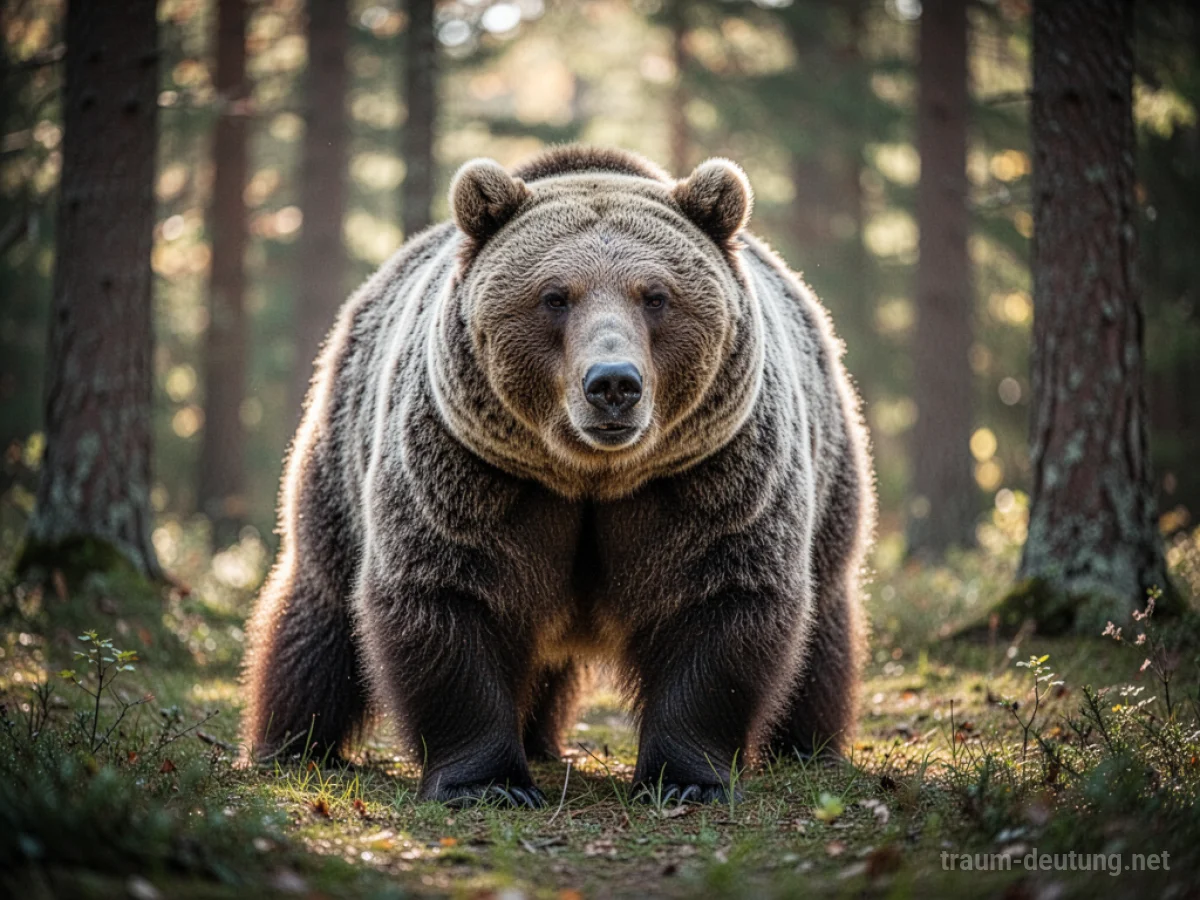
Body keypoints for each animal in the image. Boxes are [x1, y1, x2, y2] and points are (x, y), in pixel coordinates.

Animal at [242, 145, 874, 807]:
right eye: (554, 296)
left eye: (655, 295)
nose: (613, 382)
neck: (591, 477)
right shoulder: (469, 476)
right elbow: (445, 598)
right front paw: (489, 783)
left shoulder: (711, 480)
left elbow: (723, 604)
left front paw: (686, 780)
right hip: (340, 464)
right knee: (318, 617)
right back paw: (296, 744)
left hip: (830, 483)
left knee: (823, 630)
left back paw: (806, 747)